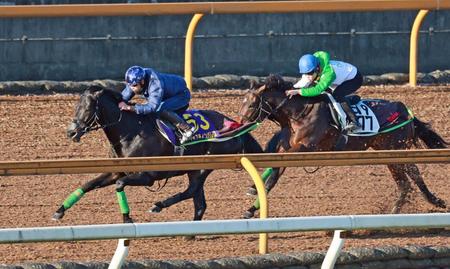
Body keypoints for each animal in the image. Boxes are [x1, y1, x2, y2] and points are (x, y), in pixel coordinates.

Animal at [239, 74, 446, 218]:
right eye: (243, 102)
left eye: (252, 105)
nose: (240, 124)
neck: (299, 113)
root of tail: (404, 110)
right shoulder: (284, 151)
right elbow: (272, 178)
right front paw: (250, 205)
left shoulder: (306, 148)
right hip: (388, 151)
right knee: (411, 177)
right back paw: (425, 203)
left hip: (395, 149)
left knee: (409, 179)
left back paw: (402, 210)